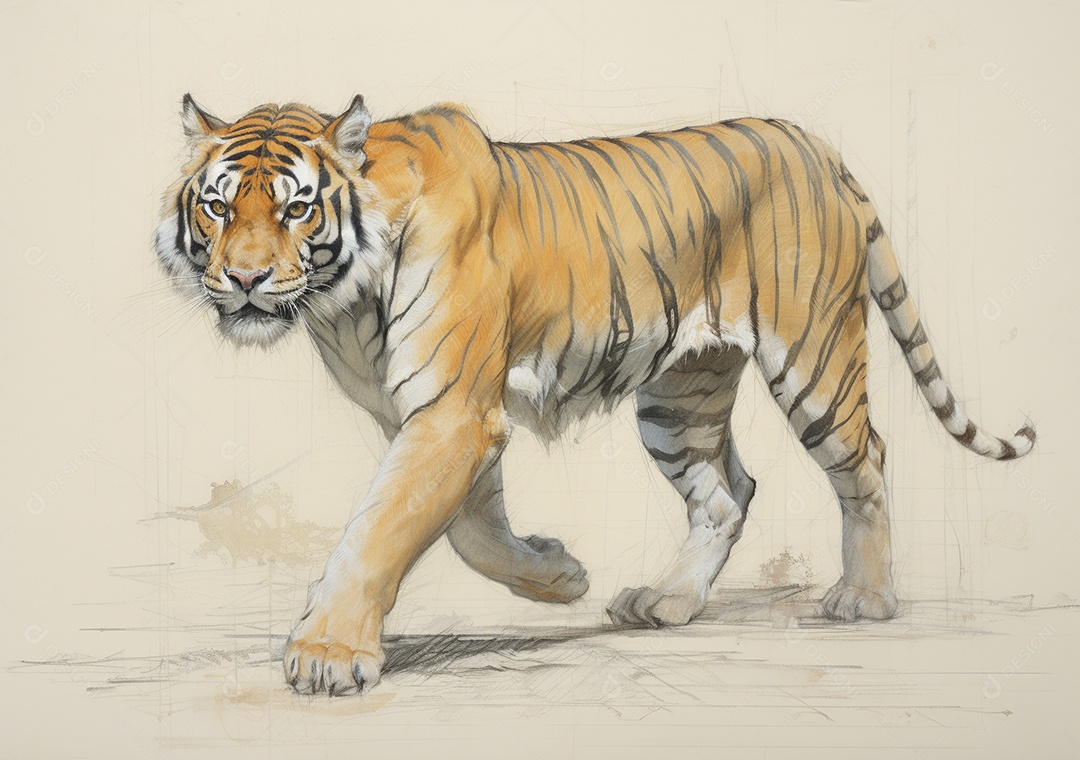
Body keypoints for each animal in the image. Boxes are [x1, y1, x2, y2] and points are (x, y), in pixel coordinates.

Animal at [155, 93, 1036, 697]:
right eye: (218, 206)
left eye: (297, 208)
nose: (244, 279)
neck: (341, 300)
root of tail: (814, 144)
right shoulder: (444, 414)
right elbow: (468, 529)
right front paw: (560, 576)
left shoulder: (451, 412)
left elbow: (379, 530)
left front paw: (327, 656)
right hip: (681, 394)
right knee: (729, 490)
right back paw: (668, 602)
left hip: (814, 357)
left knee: (867, 462)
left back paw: (865, 598)